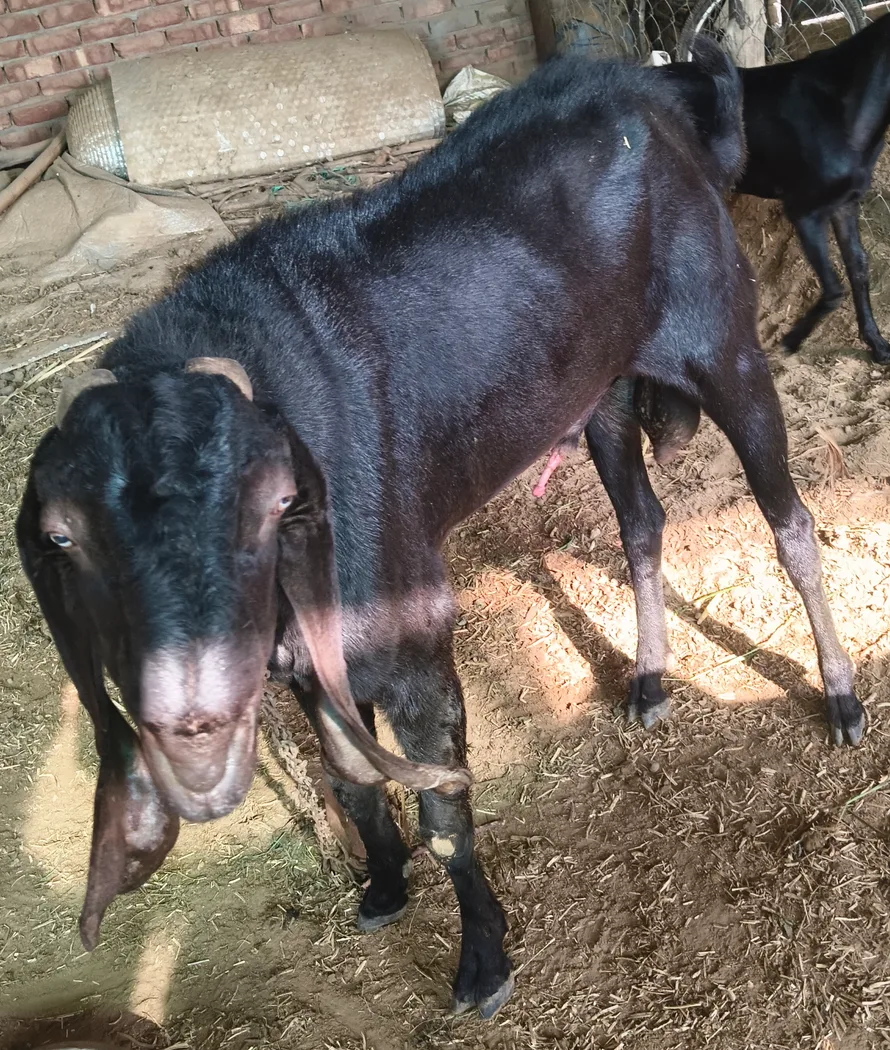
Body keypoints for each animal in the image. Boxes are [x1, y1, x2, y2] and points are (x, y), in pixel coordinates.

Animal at [17, 40, 862, 1020]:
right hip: (602, 392)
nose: (190, 717)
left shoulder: (411, 633)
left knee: (790, 522)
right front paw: (383, 887)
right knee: (642, 524)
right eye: (64, 536)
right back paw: (650, 678)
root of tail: (657, 93)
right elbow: (349, 778)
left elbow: (446, 815)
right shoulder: (309, 660)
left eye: (270, 501)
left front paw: (484, 964)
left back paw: (841, 696)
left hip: (725, 344)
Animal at [670, 15, 890, 363]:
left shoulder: (845, 204)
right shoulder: (803, 210)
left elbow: (858, 267)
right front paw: (792, 340)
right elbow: (833, 289)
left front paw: (877, 344)